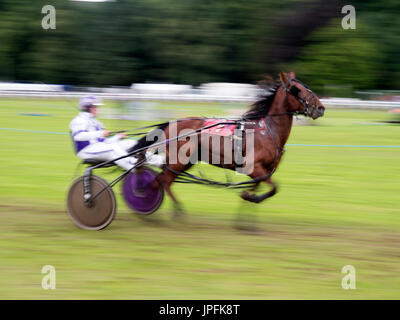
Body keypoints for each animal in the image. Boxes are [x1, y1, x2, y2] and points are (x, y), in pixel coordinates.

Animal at [131, 72, 324, 215]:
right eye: (297, 89)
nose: (320, 107)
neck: (267, 131)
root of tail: (171, 123)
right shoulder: (253, 167)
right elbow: (274, 187)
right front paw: (250, 199)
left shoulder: (263, 170)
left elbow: (261, 188)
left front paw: (246, 211)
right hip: (179, 160)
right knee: (163, 180)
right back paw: (172, 209)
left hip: (185, 161)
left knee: (160, 180)